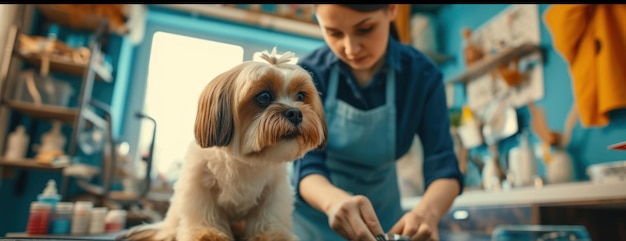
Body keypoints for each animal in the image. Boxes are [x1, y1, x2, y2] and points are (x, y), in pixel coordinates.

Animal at [120, 48, 326, 240]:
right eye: (264, 97)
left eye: (301, 96)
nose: (295, 113)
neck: (245, 161)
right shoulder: (199, 185)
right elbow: (204, 213)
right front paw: (207, 234)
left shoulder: (274, 191)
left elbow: (268, 217)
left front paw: (272, 236)